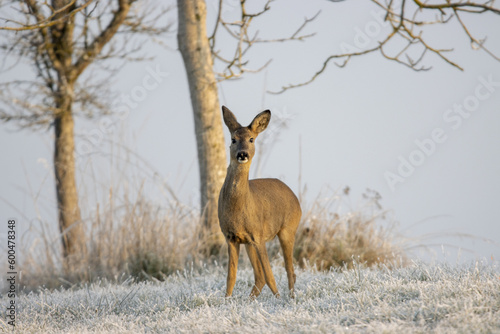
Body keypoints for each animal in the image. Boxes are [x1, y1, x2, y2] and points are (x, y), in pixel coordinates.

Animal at [218, 105, 300, 298]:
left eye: (251, 139)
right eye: (233, 139)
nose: (242, 154)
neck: (238, 209)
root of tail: (294, 197)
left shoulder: (259, 235)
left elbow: (271, 276)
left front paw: (278, 299)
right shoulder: (230, 236)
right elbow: (231, 277)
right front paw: (226, 300)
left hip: (288, 229)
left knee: (288, 269)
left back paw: (291, 298)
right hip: (249, 243)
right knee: (260, 276)